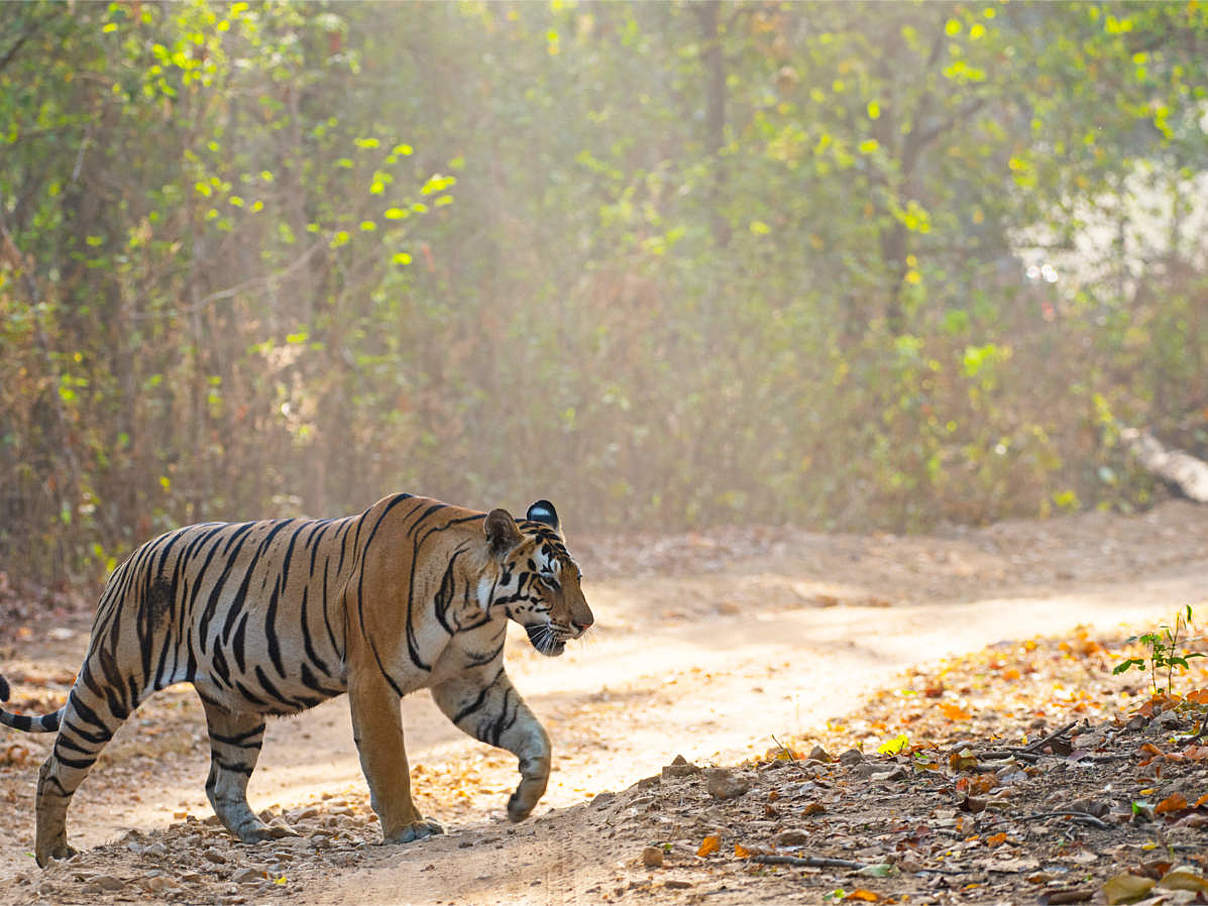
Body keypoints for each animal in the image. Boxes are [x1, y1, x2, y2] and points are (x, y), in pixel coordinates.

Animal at [0, 494, 593, 868]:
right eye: (546, 579)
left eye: (577, 576)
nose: (586, 623)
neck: (478, 605)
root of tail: (128, 559)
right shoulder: (374, 681)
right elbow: (390, 762)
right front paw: (408, 829)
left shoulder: (471, 684)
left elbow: (534, 735)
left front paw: (521, 802)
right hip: (110, 682)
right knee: (55, 769)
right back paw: (52, 856)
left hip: (236, 708)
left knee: (221, 783)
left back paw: (262, 834)